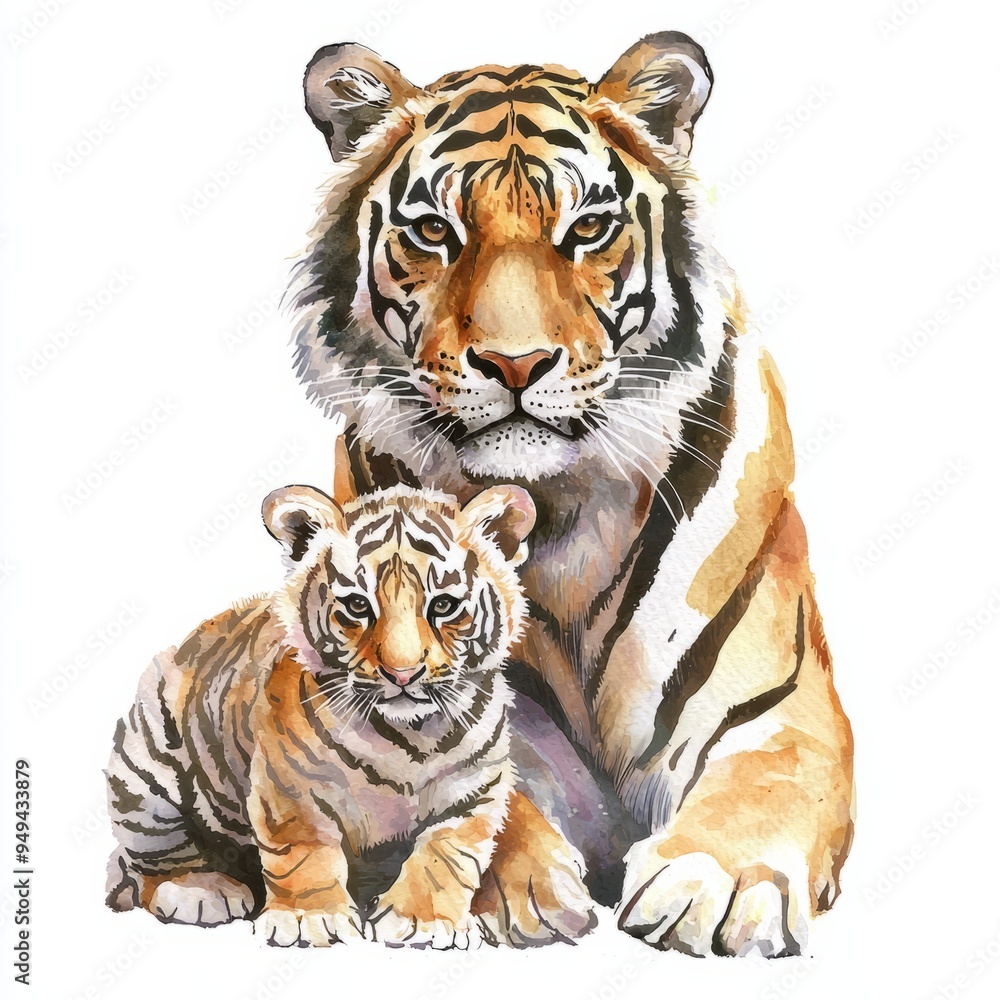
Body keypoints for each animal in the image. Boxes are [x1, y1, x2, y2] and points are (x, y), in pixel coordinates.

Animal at [104, 481, 602, 949]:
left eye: (443, 605)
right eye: (358, 606)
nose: (403, 672)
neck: (412, 738)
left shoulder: (475, 792)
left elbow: (448, 856)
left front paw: (424, 921)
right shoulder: (290, 788)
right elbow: (304, 852)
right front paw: (308, 920)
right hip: (146, 771)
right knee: (152, 860)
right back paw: (200, 890)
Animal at [290, 30, 855, 957]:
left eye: (587, 228)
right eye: (435, 232)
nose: (515, 364)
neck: (559, 511)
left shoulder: (781, 702)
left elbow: (769, 780)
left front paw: (717, 884)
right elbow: (494, 786)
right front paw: (519, 888)